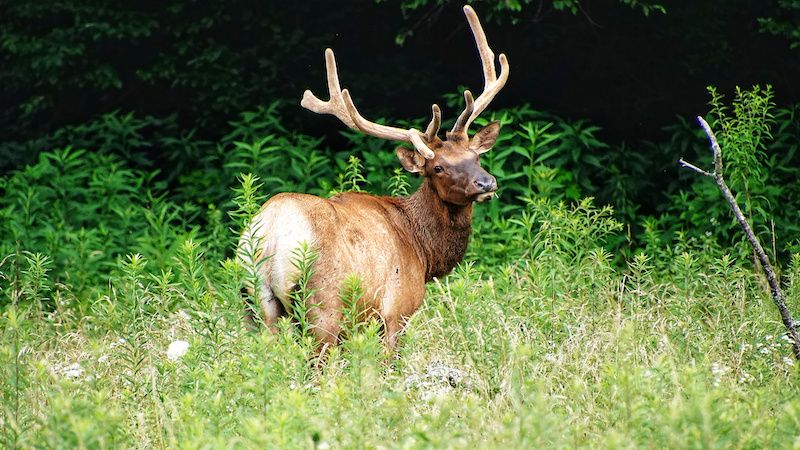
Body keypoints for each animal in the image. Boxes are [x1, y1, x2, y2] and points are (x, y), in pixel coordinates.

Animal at [238, 5, 508, 352]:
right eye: (437, 168)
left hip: (255, 306)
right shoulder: (397, 309)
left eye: (476, 156)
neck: (424, 253)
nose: (486, 183)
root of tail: (269, 234)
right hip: (322, 308)